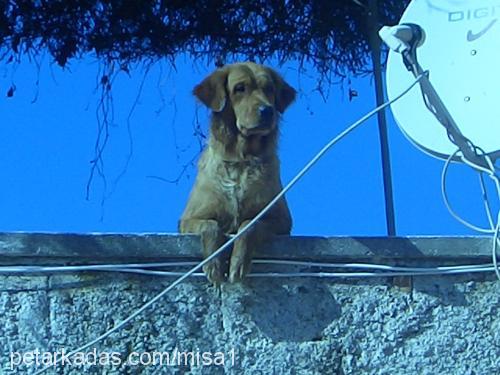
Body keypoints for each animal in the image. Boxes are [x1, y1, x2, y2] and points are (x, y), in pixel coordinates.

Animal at [180, 62, 296, 284]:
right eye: (240, 88)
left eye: (269, 89)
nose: (267, 111)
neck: (241, 162)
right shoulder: (188, 219)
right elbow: (211, 226)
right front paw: (214, 264)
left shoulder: (282, 221)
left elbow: (249, 224)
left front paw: (237, 263)